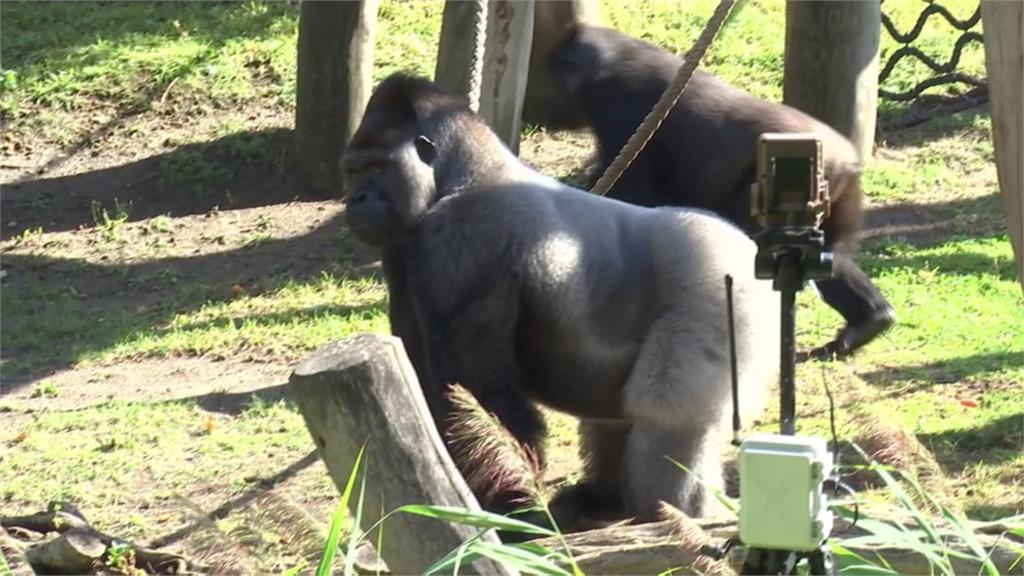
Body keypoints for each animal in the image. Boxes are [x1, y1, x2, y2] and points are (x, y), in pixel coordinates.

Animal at [342, 73, 774, 518]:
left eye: (376, 168)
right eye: (353, 172)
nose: (355, 198)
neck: (457, 174)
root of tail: (747, 250)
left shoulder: (460, 242)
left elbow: (481, 396)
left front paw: (511, 510)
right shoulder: (403, 248)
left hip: (718, 286)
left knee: (671, 419)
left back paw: (679, 513)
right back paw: (604, 501)